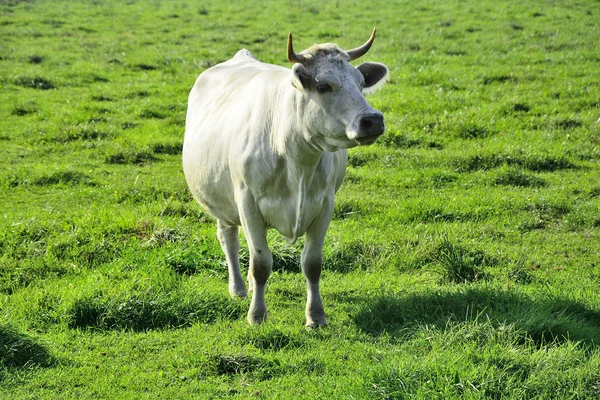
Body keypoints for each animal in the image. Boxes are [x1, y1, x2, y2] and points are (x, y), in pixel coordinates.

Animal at [182, 28, 390, 328]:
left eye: (361, 83)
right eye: (323, 86)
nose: (373, 120)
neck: (296, 157)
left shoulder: (325, 203)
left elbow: (311, 264)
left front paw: (315, 316)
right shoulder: (247, 202)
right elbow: (261, 264)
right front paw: (257, 315)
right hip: (220, 200)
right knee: (229, 239)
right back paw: (238, 288)